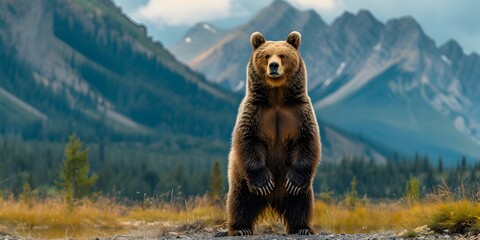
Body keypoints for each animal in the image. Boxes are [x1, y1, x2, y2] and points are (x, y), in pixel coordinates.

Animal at [226, 31, 322, 235]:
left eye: (283, 55)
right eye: (266, 55)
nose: (274, 66)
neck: (277, 97)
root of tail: (272, 201)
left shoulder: (299, 113)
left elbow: (308, 141)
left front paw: (294, 181)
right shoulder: (254, 112)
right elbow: (247, 141)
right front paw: (264, 183)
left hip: (301, 190)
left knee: (301, 203)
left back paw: (302, 228)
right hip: (242, 181)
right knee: (239, 202)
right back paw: (241, 228)